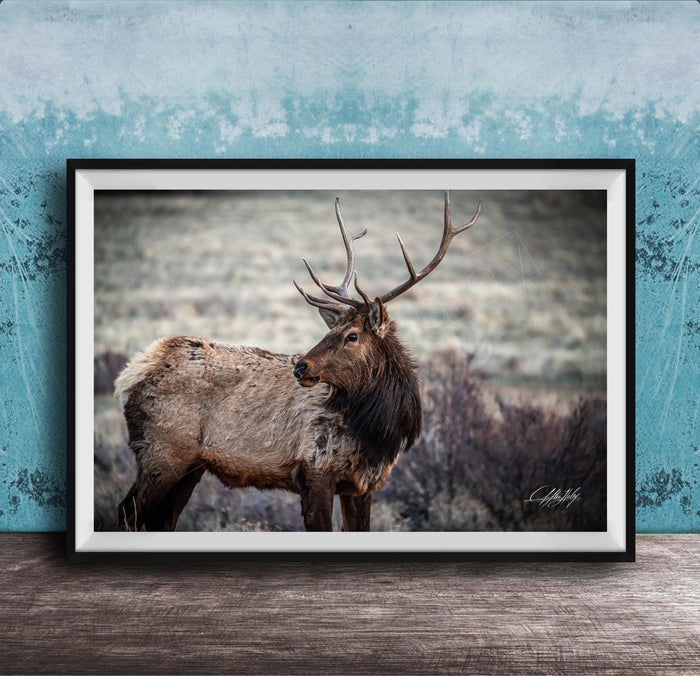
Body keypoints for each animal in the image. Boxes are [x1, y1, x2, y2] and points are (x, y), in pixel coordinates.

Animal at [114, 191, 481, 532]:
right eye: (332, 329)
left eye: (352, 336)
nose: (301, 366)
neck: (378, 434)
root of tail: (131, 374)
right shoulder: (314, 471)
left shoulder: (362, 486)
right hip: (162, 452)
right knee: (126, 512)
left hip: (190, 466)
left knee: (161, 520)